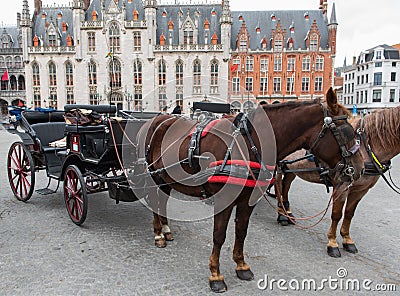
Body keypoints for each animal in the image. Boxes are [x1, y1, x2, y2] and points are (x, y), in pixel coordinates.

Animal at [138, 87, 366, 292]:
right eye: (347, 132)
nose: (361, 168)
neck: (248, 143)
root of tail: (156, 120)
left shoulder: (248, 200)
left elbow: (241, 231)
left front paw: (241, 265)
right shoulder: (224, 200)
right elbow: (219, 235)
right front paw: (215, 275)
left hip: (166, 178)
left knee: (162, 201)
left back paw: (166, 230)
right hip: (153, 175)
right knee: (154, 202)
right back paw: (158, 234)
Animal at [274, 106, 400, 256]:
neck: (366, 147)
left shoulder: (361, 190)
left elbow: (349, 214)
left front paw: (347, 239)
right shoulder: (342, 186)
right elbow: (336, 214)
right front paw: (332, 242)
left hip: (291, 168)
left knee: (285, 186)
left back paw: (288, 212)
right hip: (278, 165)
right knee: (278, 185)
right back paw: (282, 215)